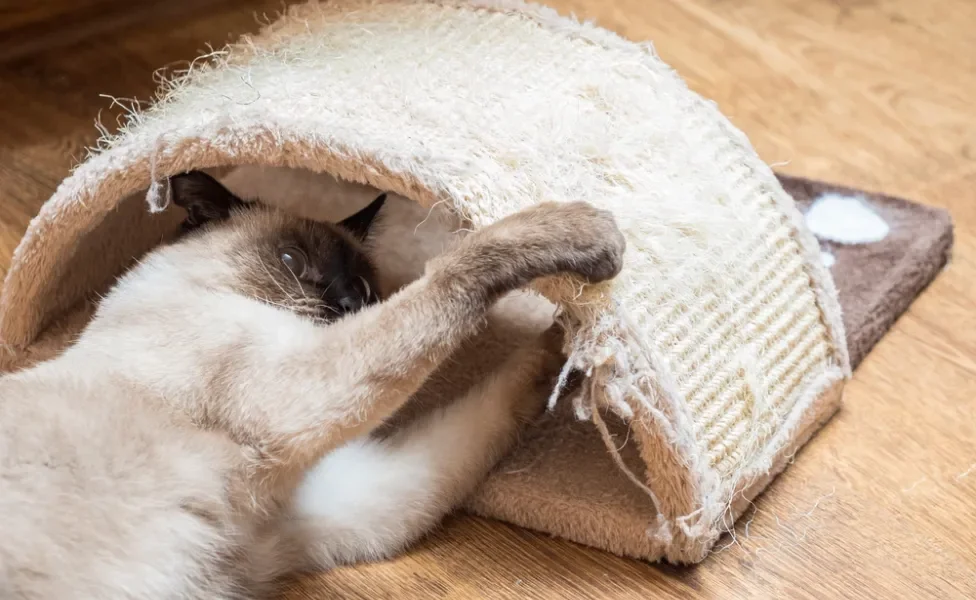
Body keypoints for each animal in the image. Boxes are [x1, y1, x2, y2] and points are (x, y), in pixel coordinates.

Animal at [0, 170, 624, 600]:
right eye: (291, 260)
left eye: (365, 286)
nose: (347, 303)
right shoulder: (296, 396)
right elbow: (450, 274)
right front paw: (587, 237)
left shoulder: (339, 504)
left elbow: (502, 396)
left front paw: (582, 344)